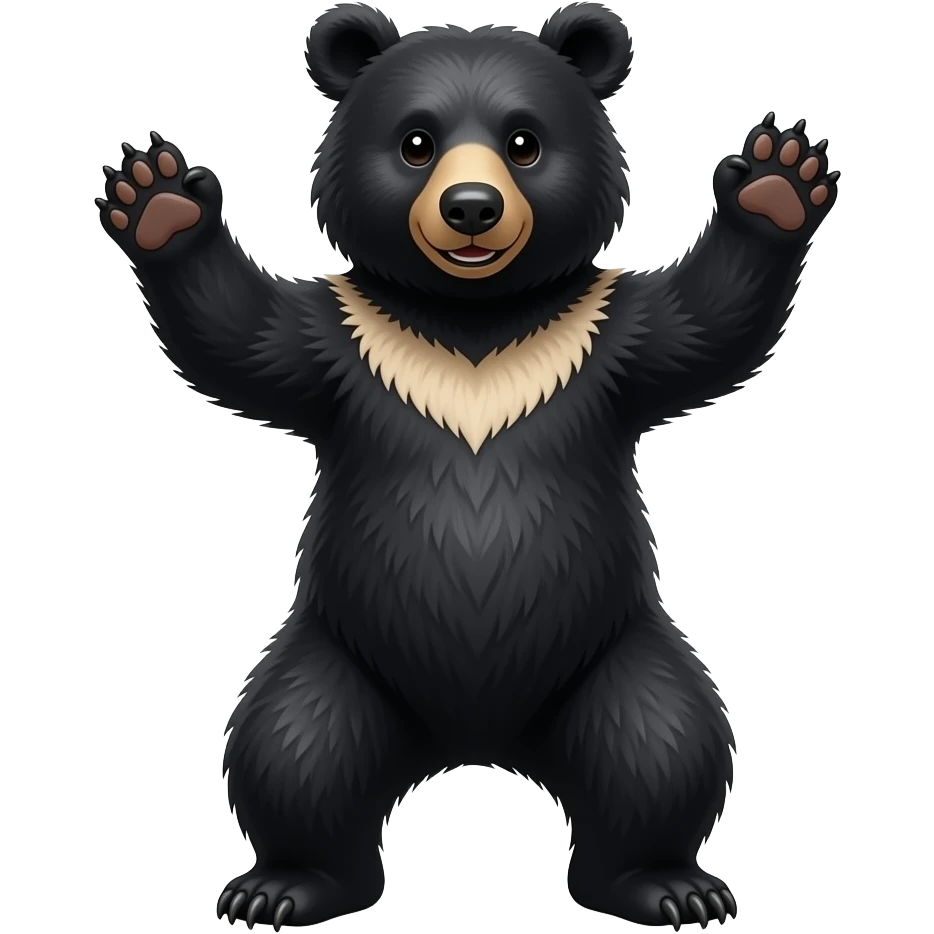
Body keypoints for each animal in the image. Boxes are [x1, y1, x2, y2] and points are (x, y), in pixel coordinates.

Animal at [94, 2, 839, 929]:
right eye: (417, 142)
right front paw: (158, 197)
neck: (473, 324)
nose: (472, 207)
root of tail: (476, 742)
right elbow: (241, 340)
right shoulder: (347, 343)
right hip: (340, 657)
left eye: (524, 141)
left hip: (614, 652)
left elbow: (706, 326)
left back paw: (666, 884)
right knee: (293, 745)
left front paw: (777, 181)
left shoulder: (604, 338)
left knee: (661, 743)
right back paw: (287, 884)